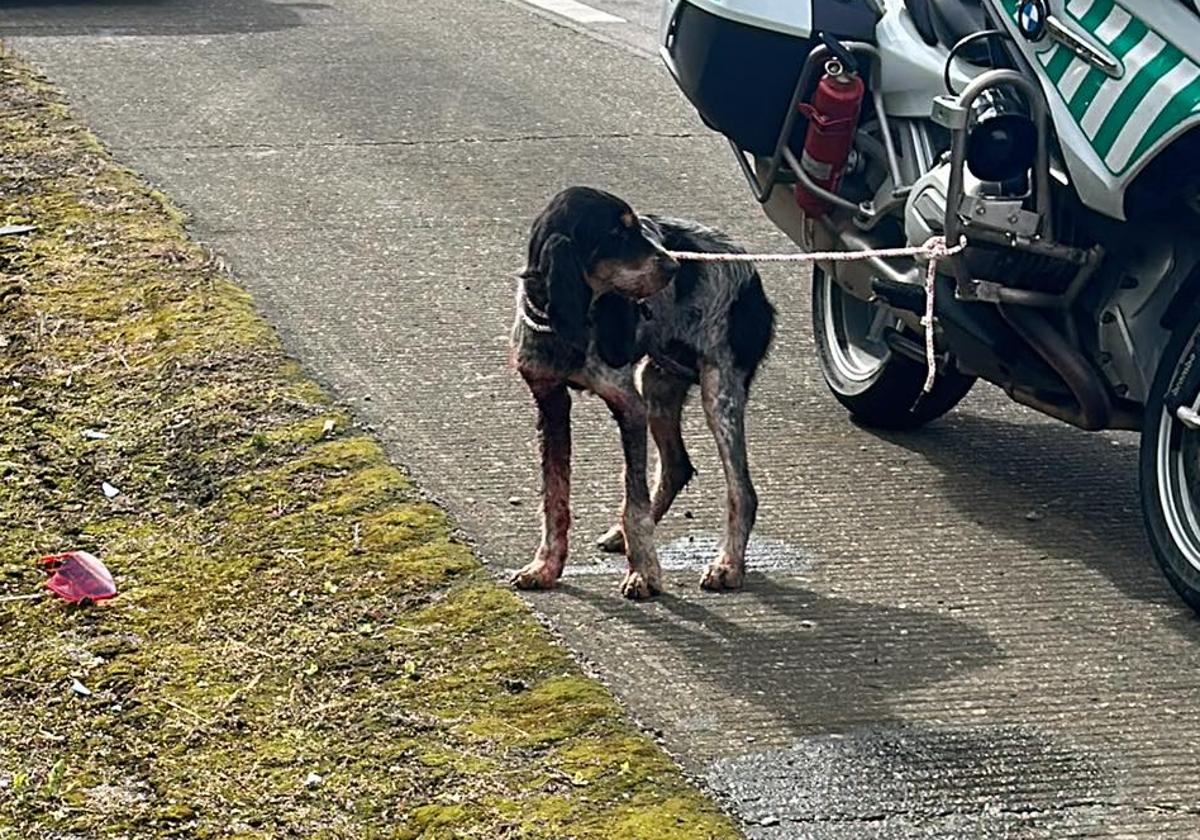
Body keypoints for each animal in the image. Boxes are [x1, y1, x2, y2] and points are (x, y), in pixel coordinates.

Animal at [508, 187, 772, 600]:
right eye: (617, 234)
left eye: (637, 227)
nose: (674, 266)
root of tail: (751, 274)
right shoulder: (550, 401)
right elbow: (554, 497)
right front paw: (546, 566)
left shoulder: (627, 406)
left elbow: (634, 502)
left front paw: (644, 572)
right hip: (657, 383)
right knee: (678, 465)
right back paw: (622, 537)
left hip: (719, 392)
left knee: (742, 491)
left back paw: (727, 565)